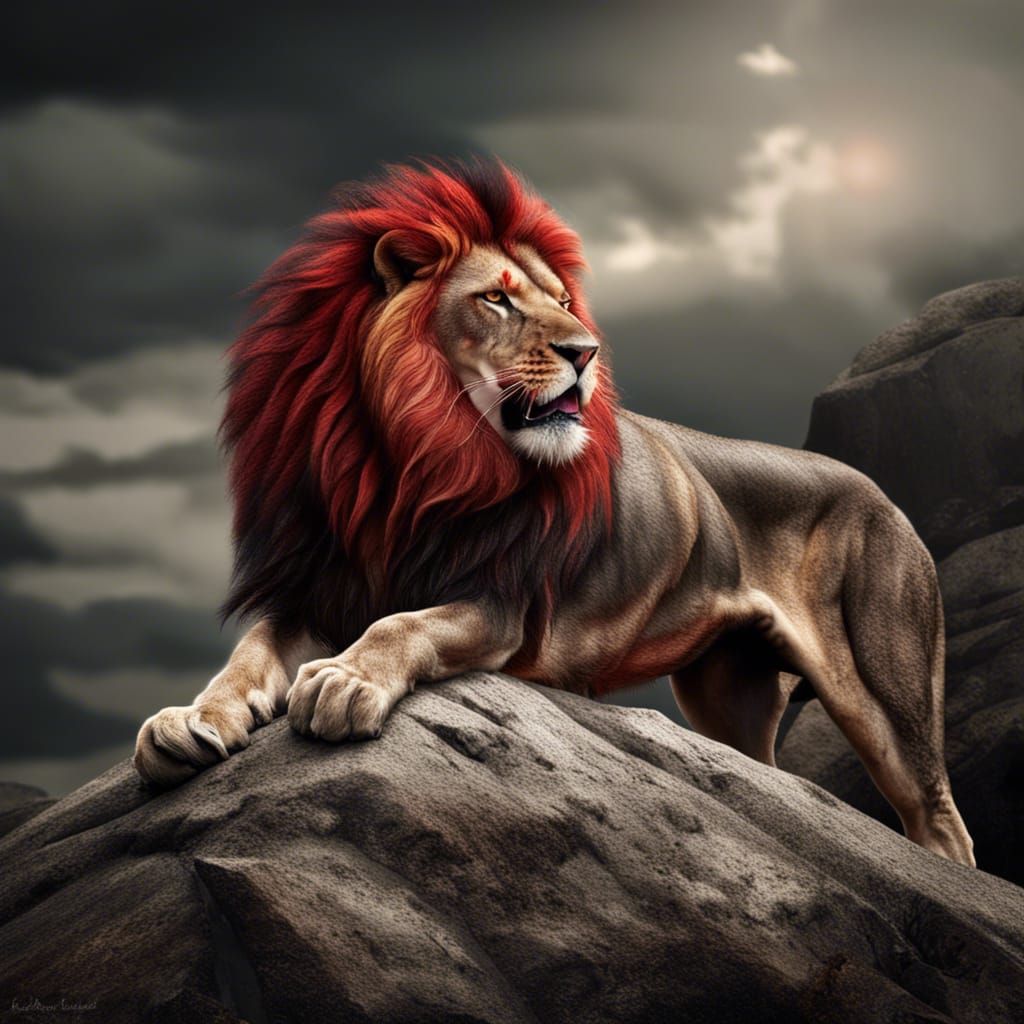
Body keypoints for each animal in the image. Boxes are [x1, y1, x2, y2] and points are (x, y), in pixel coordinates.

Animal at [134, 158, 974, 866]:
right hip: (725, 695)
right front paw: (187, 721)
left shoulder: (501, 604)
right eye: (497, 298)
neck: (406, 458)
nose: (587, 351)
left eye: (564, 302)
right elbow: (247, 656)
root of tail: (885, 495)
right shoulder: (315, 588)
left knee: (943, 827)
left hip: (883, 693)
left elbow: (401, 624)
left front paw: (342, 681)